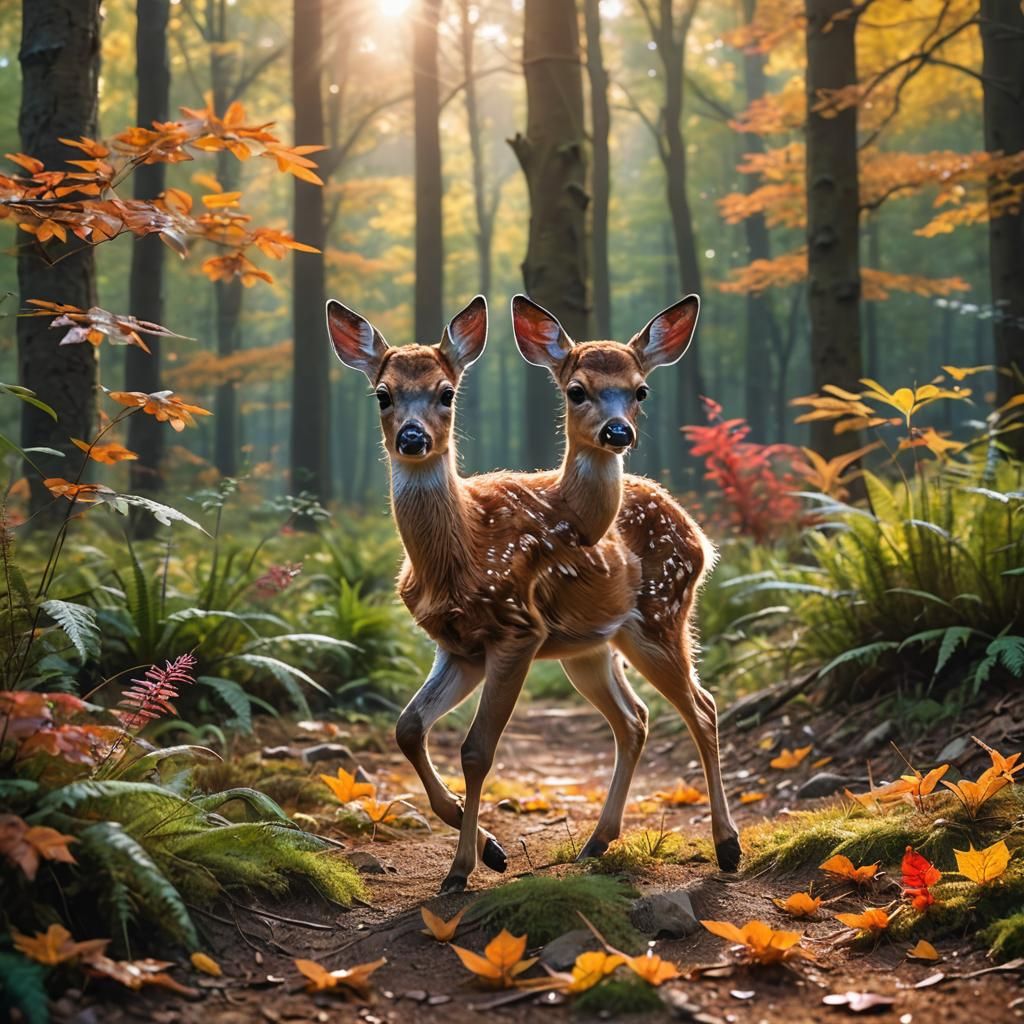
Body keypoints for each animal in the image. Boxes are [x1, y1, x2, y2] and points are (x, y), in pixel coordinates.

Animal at [326, 293, 739, 892]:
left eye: (447, 393)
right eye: (383, 394)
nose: (413, 438)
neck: (463, 549)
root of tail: (699, 534)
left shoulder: (517, 629)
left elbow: (476, 750)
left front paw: (462, 869)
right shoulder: (459, 646)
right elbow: (408, 728)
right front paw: (488, 846)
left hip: (661, 615)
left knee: (702, 709)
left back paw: (727, 847)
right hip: (588, 648)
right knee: (634, 718)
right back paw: (596, 843)